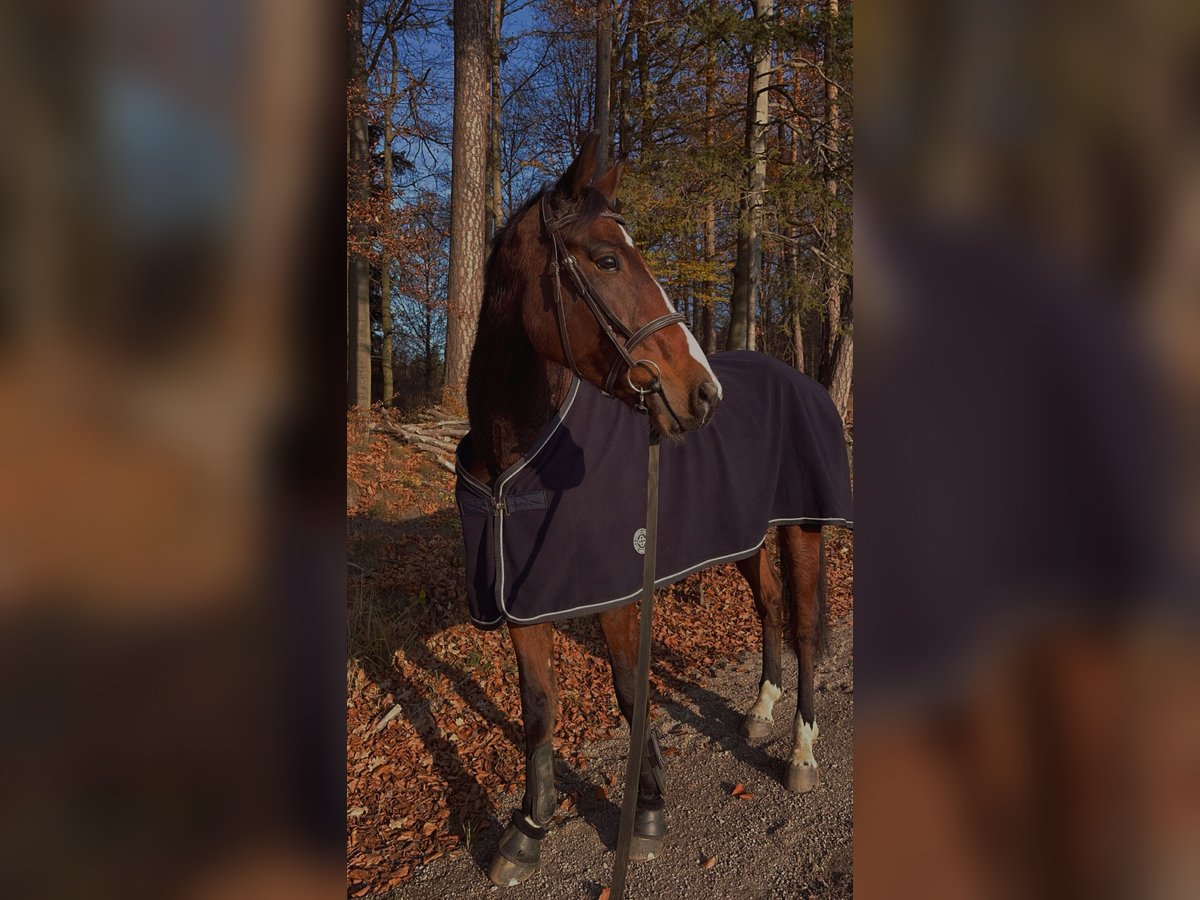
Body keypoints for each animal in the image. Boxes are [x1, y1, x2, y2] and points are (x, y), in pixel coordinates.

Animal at [451, 133, 854, 888]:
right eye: (607, 260)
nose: (702, 391)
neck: (513, 460)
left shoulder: (617, 596)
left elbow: (632, 695)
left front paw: (646, 814)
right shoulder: (523, 603)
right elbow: (538, 709)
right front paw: (528, 830)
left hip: (804, 529)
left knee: (808, 628)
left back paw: (800, 752)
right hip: (746, 538)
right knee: (770, 608)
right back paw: (760, 712)